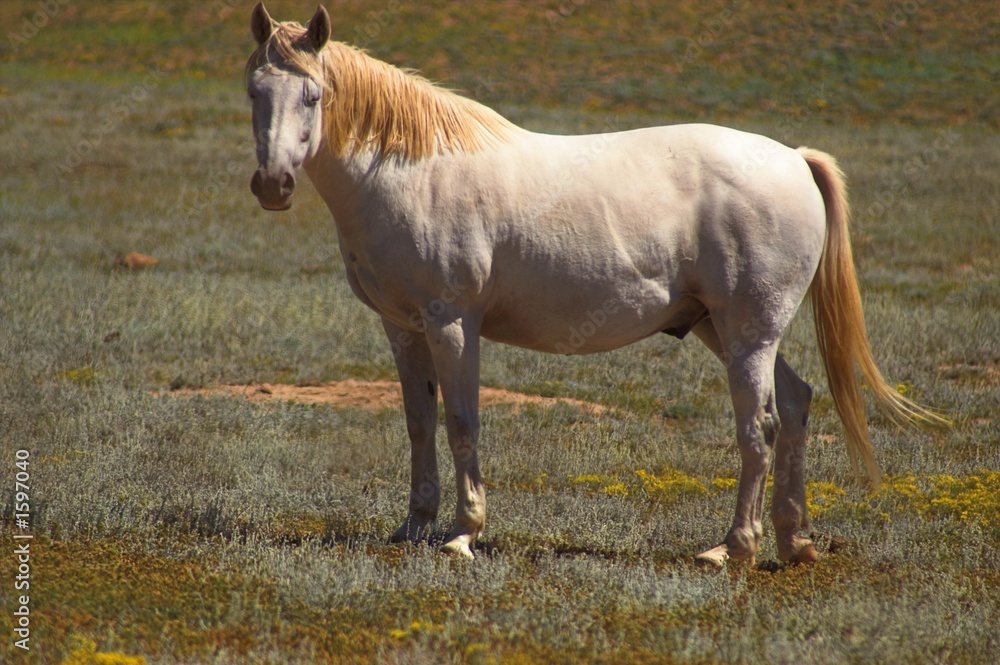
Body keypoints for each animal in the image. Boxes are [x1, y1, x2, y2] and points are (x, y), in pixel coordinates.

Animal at [244, 3, 943, 566]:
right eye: (254, 91)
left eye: (312, 96)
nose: (273, 184)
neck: (412, 170)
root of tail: (795, 158)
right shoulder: (402, 327)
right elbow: (420, 423)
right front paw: (413, 527)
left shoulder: (451, 322)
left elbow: (462, 422)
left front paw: (463, 534)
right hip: (725, 329)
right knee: (795, 406)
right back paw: (793, 541)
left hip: (749, 333)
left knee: (760, 427)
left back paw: (732, 549)